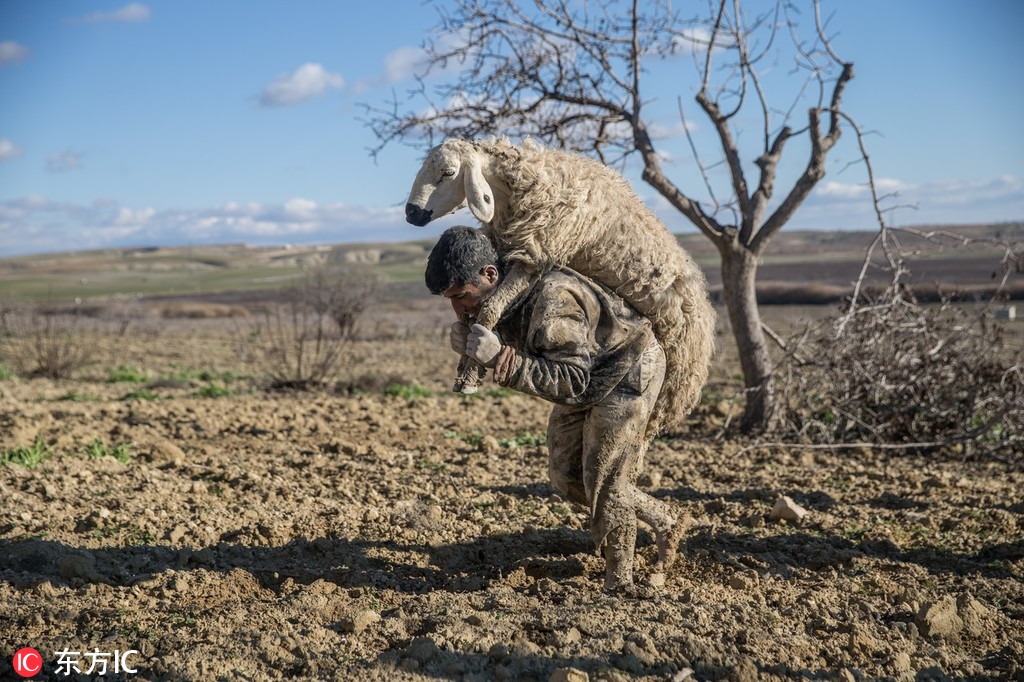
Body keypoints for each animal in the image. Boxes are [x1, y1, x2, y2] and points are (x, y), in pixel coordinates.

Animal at [403, 138, 716, 436]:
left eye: (448, 172)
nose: (411, 212)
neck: (523, 182)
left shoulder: (537, 252)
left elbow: (491, 307)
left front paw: (471, 371)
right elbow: (471, 316)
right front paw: (465, 362)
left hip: (673, 382)